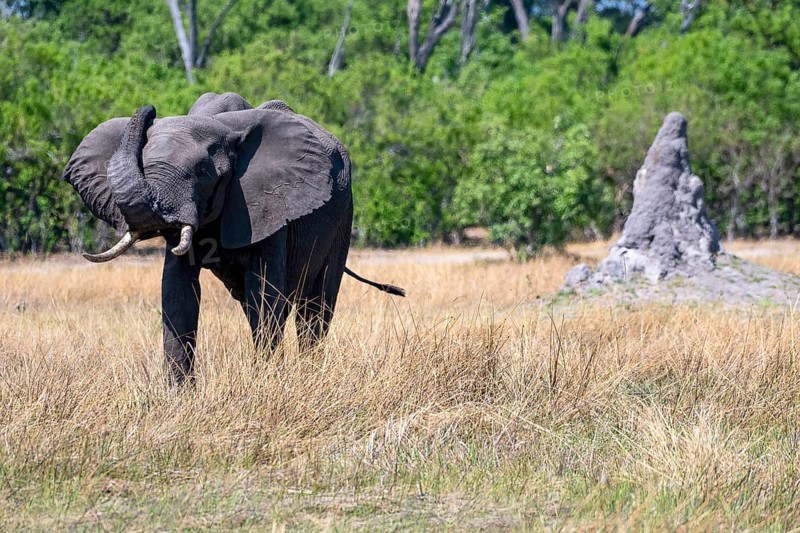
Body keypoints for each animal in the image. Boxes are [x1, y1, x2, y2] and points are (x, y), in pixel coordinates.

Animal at [63, 92, 404, 385]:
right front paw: (180, 395)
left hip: (343, 216)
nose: (151, 111)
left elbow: (265, 292)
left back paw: (310, 375)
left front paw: (266, 384)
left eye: (203, 172)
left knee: (315, 306)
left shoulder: (269, 205)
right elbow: (177, 292)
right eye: (143, 166)